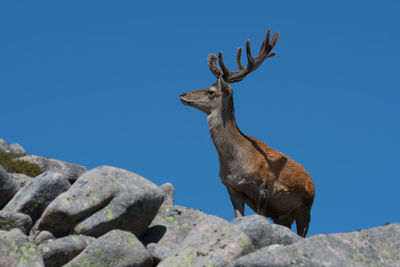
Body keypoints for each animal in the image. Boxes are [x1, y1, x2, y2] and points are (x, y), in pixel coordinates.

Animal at [180, 29, 316, 239]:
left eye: (210, 92)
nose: (183, 94)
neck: (235, 160)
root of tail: (313, 183)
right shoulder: (232, 189)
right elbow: (236, 218)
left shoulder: (263, 188)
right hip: (283, 215)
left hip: (305, 208)